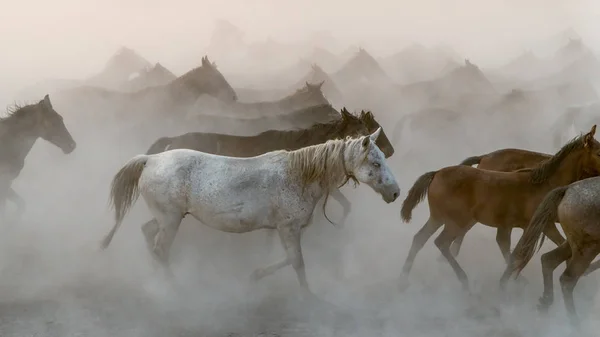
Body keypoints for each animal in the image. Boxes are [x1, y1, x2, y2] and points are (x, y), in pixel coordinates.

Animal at [99, 127, 398, 296]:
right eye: (375, 162)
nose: (395, 192)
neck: (299, 175)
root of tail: (150, 160)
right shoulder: (288, 227)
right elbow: (298, 261)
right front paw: (308, 296)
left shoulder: (286, 228)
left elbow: (289, 259)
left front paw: (256, 274)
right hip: (171, 220)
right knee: (161, 248)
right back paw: (175, 288)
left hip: (168, 217)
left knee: (148, 234)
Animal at [398, 124, 600, 290]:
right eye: (598, 152)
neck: (547, 184)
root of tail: (436, 173)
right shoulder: (546, 225)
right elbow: (552, 244)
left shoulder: (526, 226)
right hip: (456, 222)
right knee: (441, 243)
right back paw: (463, 279)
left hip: (439, 218)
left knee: (419, 239)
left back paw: (404, 279)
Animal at [502, 175, 600, 324]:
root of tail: (568, 189)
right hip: (588, 248)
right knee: (567, 279)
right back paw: (575, 323)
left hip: (574, 244)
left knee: (548, 260)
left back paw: (545, 302)